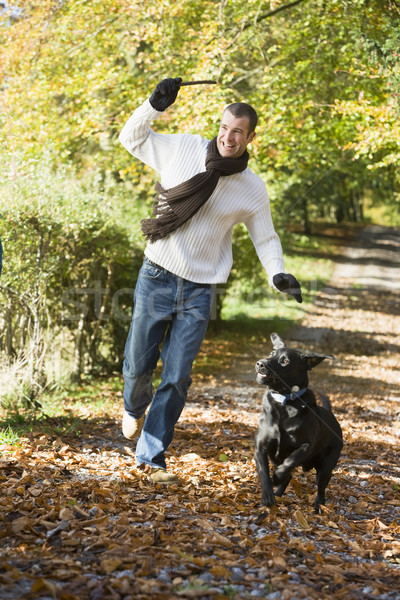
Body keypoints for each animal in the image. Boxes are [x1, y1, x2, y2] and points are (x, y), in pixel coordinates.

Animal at [255, 332, 342, 510]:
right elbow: (264, 473)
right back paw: (277, 493)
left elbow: (290, 460)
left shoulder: (306, 446)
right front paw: (267, 495)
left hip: (326, 467)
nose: (260, 363)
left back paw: (318, 507)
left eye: (285, 361)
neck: (284, 402)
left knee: (321, 490)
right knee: (287, 477)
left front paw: (278, 476)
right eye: (271, 354)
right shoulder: (260, 449)